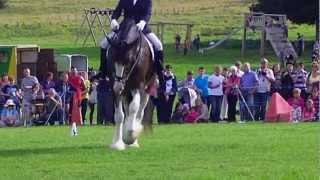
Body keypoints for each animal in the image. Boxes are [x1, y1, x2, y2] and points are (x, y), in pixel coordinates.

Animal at [107, 17, 156, 150]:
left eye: (128, 62)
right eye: (112, 60)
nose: (118, 86)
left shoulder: (138, 86)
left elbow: (134, 107)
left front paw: (130, 136)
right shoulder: (116, 89)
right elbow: (119, 115)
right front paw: (117, 143)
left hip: (146, 89)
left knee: (139, 111)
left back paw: (134, 137)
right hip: (126, 91)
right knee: (127, 111)